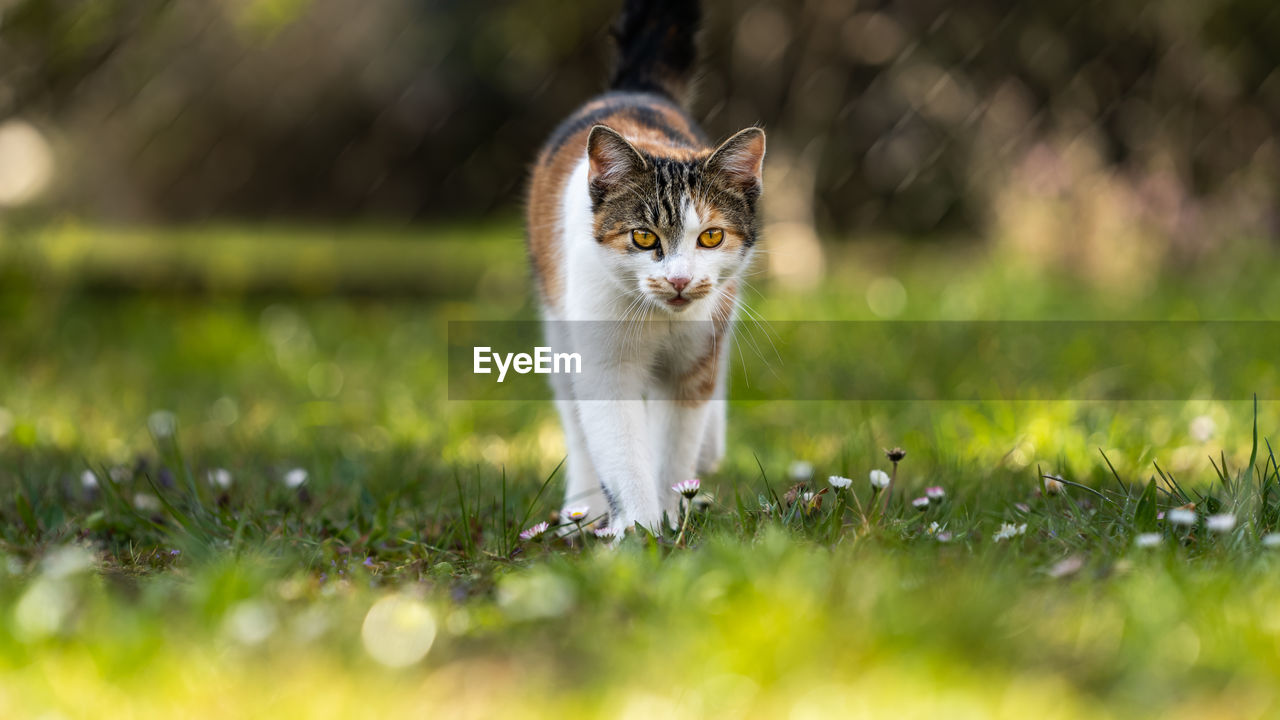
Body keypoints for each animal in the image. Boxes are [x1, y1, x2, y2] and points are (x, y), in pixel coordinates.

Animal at [524, 0, 762, 532]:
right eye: (643, 237)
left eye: (711, 236)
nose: (679, 280)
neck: (660, 321)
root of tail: (637, 90)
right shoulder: (603, 364)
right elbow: (619, 448)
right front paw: (639, 529)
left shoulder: (694, 362)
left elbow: (674, 449)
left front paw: (673, 518)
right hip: (558, 324)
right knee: (576, 422)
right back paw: (582, 508)